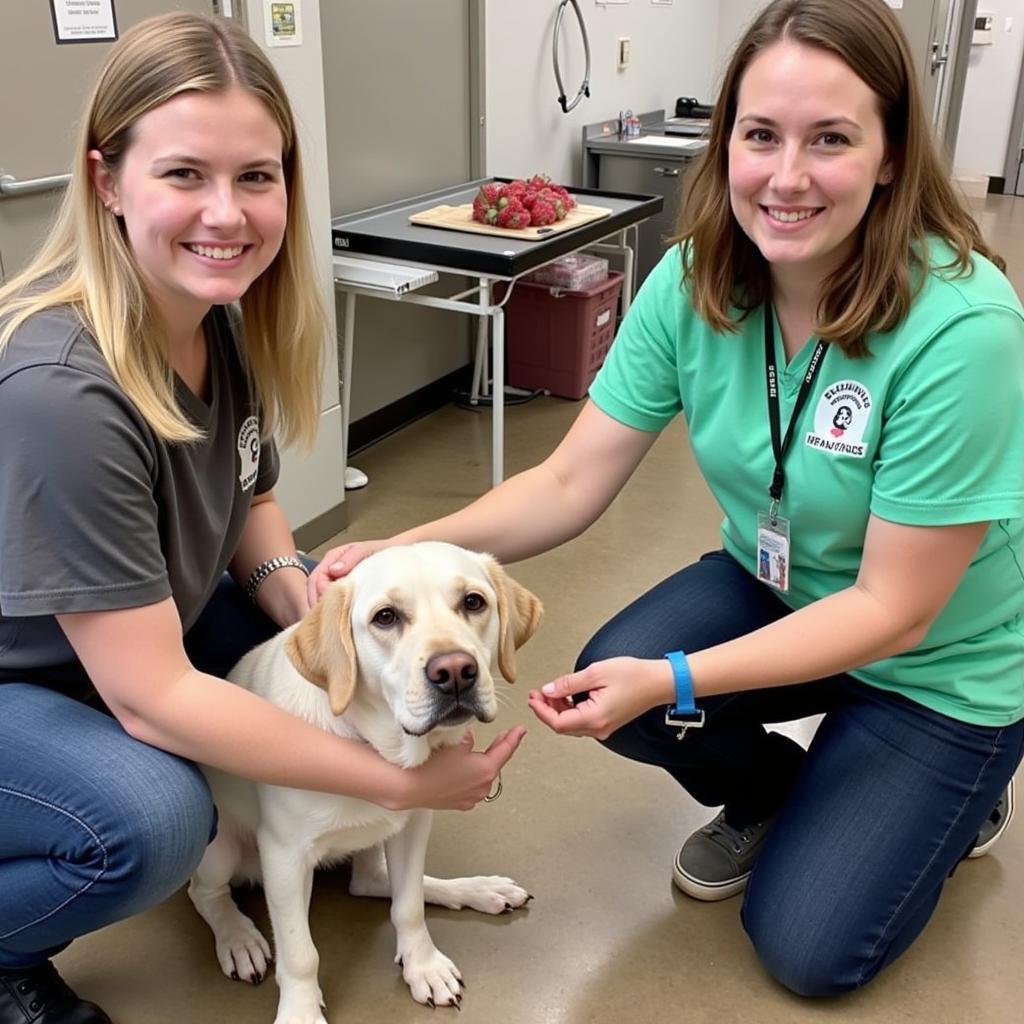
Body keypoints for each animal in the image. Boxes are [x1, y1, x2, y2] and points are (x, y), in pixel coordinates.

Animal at [190, 540, 544, 1019]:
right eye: (386, 617)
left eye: (473, 602)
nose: (455, 671)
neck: (378, 746)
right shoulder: (284, 856)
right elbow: (300, 953)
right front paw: (300, 1012)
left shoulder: (413, 824)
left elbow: (408, 906)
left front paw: (424, 966)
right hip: (222, 848)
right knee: (205, 893)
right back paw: (238, 938)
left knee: (374, 882)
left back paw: (477, 889)